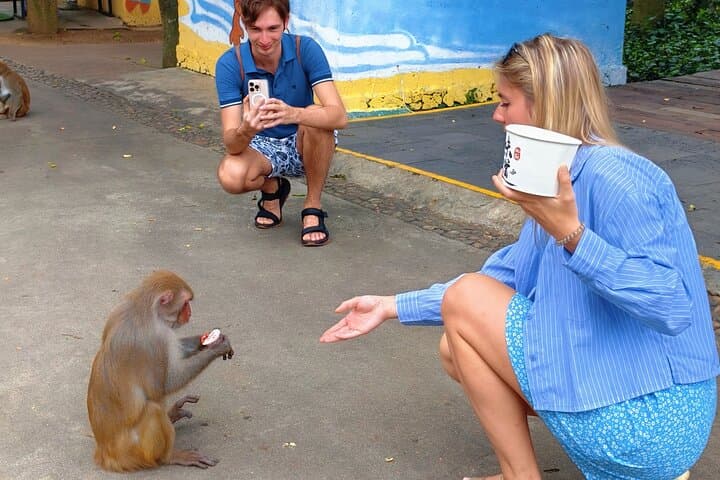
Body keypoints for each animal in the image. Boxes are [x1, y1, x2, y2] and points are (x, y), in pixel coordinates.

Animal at [86, 270, 234, 472]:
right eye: (186, 302)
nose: (190, 313)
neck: (145, 310)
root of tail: (106, 455)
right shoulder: (153, 341)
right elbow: (161, 386)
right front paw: (216, 348)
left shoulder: (117, 311)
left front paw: (206, 340)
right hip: (134, 452)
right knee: (153, 410)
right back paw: (169, 456)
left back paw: (172, 415)